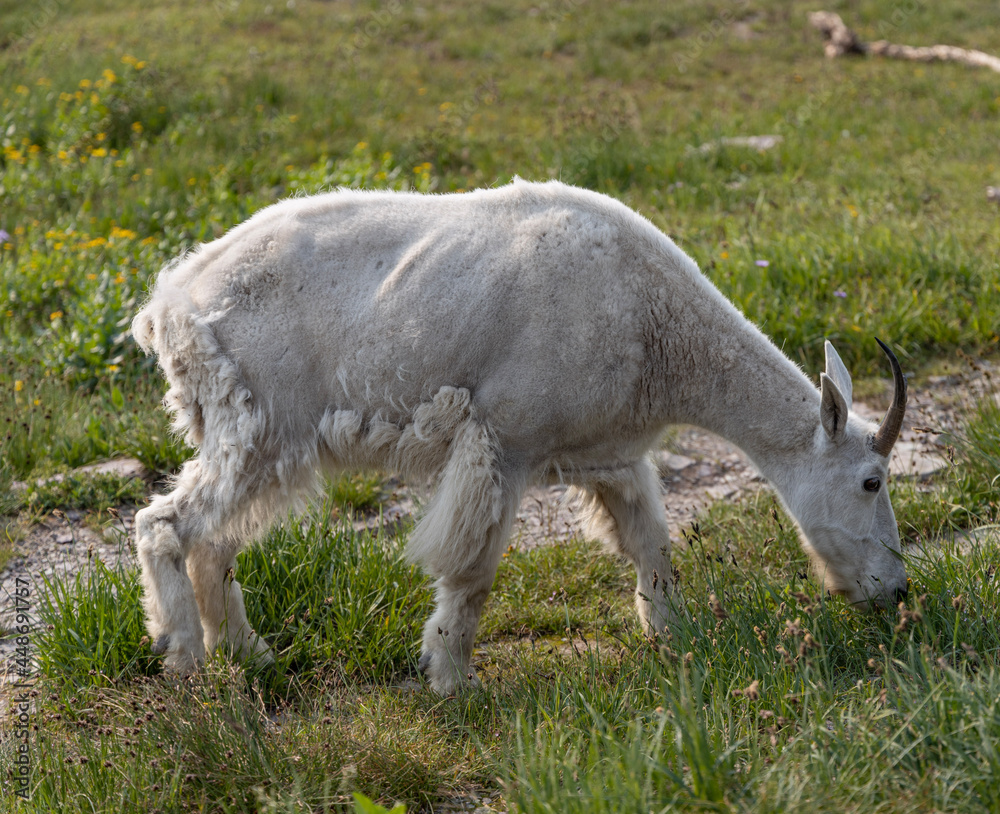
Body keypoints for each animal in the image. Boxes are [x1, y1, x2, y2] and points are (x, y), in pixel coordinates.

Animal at [131, 179, 908, 694]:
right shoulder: (502, 441)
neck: (655, 326)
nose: (895, 592)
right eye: (871, 481)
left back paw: (249, 655)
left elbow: (650, 542)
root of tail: (169, 305)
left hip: (256, 439)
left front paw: (674, 636)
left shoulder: (609, 452)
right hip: (257, 423)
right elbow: (472, 570)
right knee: (164, 522)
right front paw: (451, 679)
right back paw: (184, 657)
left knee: (216, 541)